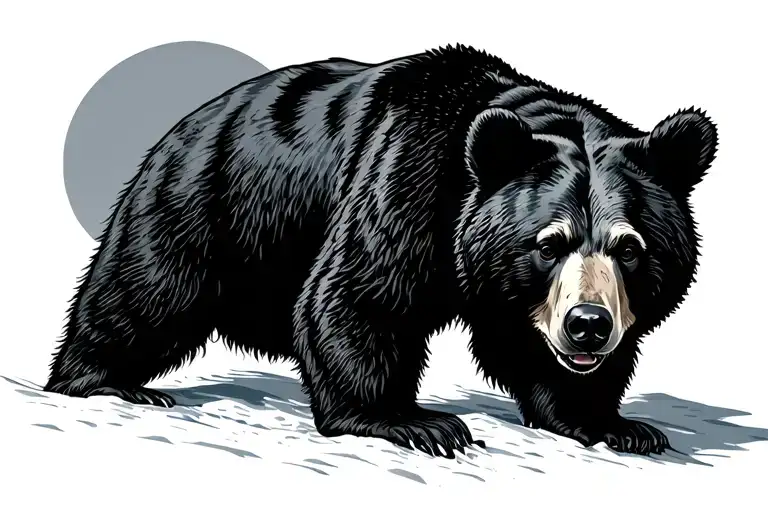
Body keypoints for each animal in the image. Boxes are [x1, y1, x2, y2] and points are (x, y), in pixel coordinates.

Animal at [45, 44, 717, 458]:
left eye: (630, 248)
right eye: (548, 243)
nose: (588, 325)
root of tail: (182, 122)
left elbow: (534, 353)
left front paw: (618, 424)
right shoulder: (408, 175)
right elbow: (359, 296)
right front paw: (420, 422)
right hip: (205, 203)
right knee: (143, 292)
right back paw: (106, 382)